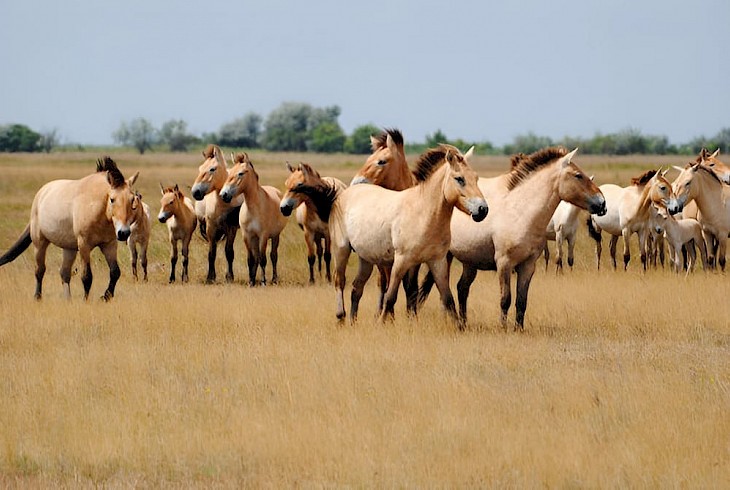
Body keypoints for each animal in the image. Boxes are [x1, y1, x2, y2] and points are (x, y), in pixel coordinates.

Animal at [0, 157, 139, 300]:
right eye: (112, 199)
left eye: (132, 199)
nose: (123, 233)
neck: (96, 207)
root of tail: (41, 192)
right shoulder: (84, 245)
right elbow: (87, 277)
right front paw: (86, 300)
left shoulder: (109, 245)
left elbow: (115, 272)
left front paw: (106, 296)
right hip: (39, 243)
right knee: (40, 270)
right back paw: (37, 297)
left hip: (69, 249)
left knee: (64, 273)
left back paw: (68, 300)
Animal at [191, 144, 242, 284]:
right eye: (200, 168)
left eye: (212, 169)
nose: (195, 192)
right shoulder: (211, 228)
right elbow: (211, 254)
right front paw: (210, 277)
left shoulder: (231, 229)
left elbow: (229, 252)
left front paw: (229, 277)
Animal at [219, 151, 288, 286]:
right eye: (230, 172)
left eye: (241, 173)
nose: (224, 195)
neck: (254, 208)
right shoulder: (247, 236)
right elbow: (251, 259)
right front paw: (251, 281)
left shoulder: (263, 236)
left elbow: (263, 259)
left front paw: (263, 282)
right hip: (255, 239)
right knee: (256, 257)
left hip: (275, 236)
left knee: (273, 256)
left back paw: (274, 279)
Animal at [328, 144, 486, 324]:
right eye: (459, 179)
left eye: (476, 178)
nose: (483, 209)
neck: (423, 213)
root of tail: (343, 194)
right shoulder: (401, 261)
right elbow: (390, 297)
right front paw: (382, 323)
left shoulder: (437, 262)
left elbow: (447, 299)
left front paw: (458, 327)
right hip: (341, 251)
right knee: (339, 281)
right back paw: (341, 318)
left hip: (366, 259)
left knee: (356, 288)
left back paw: (353, 322)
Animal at [418, 145, 604, 330]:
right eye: (578, 175)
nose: (602, 203)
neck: (521, 213)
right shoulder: (504, 263)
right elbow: (505, 299)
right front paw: (503, 328)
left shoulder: (528, 266)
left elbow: (522, 301)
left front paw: (518, 329)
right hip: (445, 258)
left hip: (469, 262)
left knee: (461, 289)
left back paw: (463, 323)